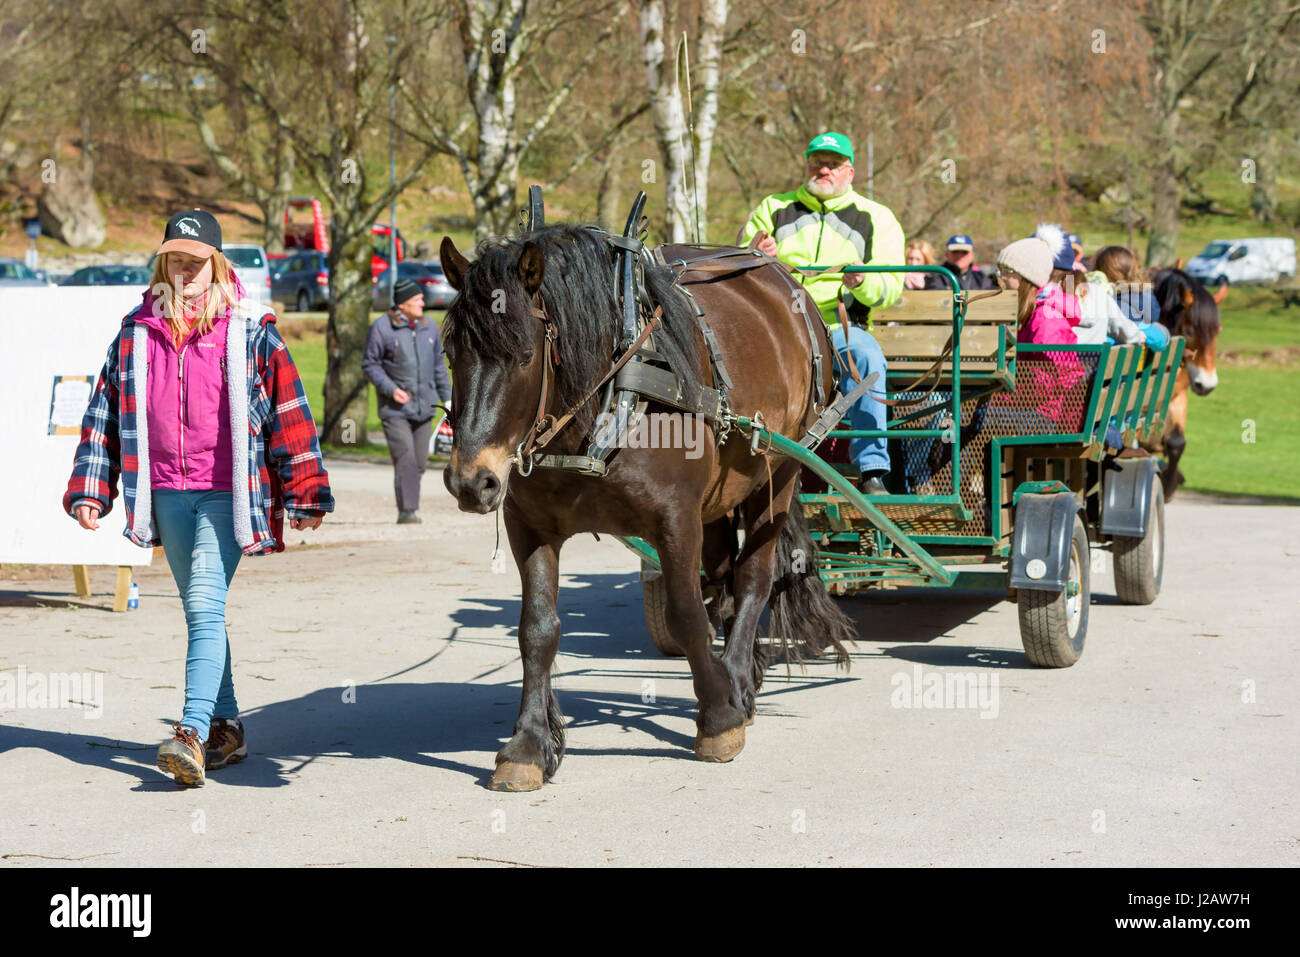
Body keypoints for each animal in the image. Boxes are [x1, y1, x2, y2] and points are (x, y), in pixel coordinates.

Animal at [441, 226, 857, 790]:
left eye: (524, 355)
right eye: (450, 352)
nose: (470, 482)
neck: (609, 405)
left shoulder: (675, 520)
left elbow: (686, 616)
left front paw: (719, 720)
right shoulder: (530, 525)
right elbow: (538, 629)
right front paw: (529, 744)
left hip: (779, 475)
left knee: (754, 578)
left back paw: (737, 681)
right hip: (720, 499)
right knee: (724, 580)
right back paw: (737, 672)